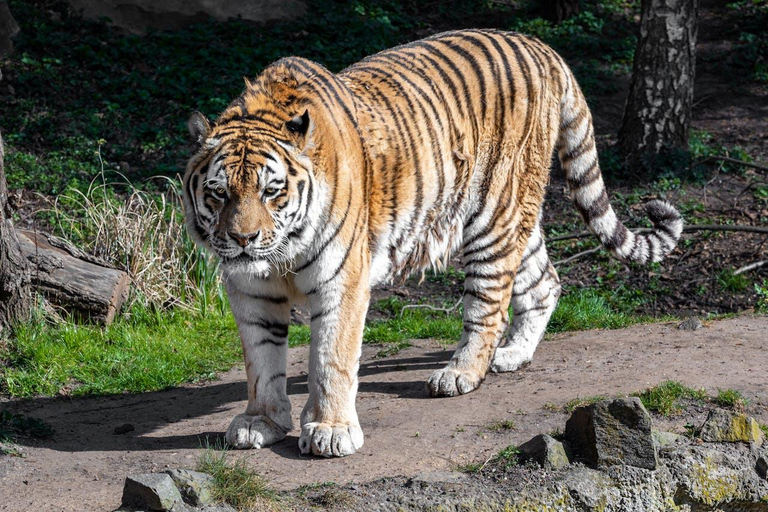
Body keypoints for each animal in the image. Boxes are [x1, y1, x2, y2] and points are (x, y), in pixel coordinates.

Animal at [183, 29, 680, 456]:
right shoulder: (251, 291)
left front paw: (331, 430)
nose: (243, 239)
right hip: (514, 216)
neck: (280, 255)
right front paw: (261, 422)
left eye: (272, 191)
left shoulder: (341, 281)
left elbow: (331, 358)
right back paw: (513, 355)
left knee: (488, 306)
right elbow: (260, 361)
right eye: (219, 193)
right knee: (547, 281)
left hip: (492, 215)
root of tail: (540, 46)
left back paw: (461, 373)